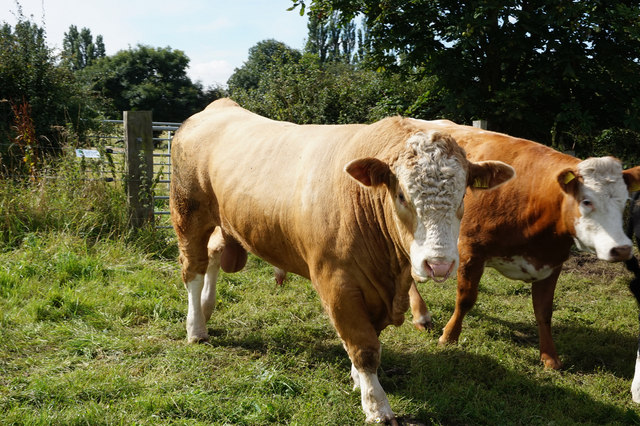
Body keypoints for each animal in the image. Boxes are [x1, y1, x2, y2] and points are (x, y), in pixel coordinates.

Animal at [169, 100, 516, 422]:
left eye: (462, 197)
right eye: (401, 195)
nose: (439, 264)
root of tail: (220, 106)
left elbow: (370, 337)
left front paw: (357, 379)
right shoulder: (336, 283)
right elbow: (364, 347)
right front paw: (376, 405)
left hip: (223, 222)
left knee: (213, 256)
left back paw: (207, 308)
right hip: (187, 213)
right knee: (193, 270)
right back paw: (196, 327)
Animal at [408, 119, 640, 370]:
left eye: (624, 201)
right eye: (587, 201)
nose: (622, 249)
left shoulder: (551, 263)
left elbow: (544, 311)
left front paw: (550, 357)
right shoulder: (471, 252)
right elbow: (465, 299)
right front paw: (449, 337)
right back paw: (421, 315)